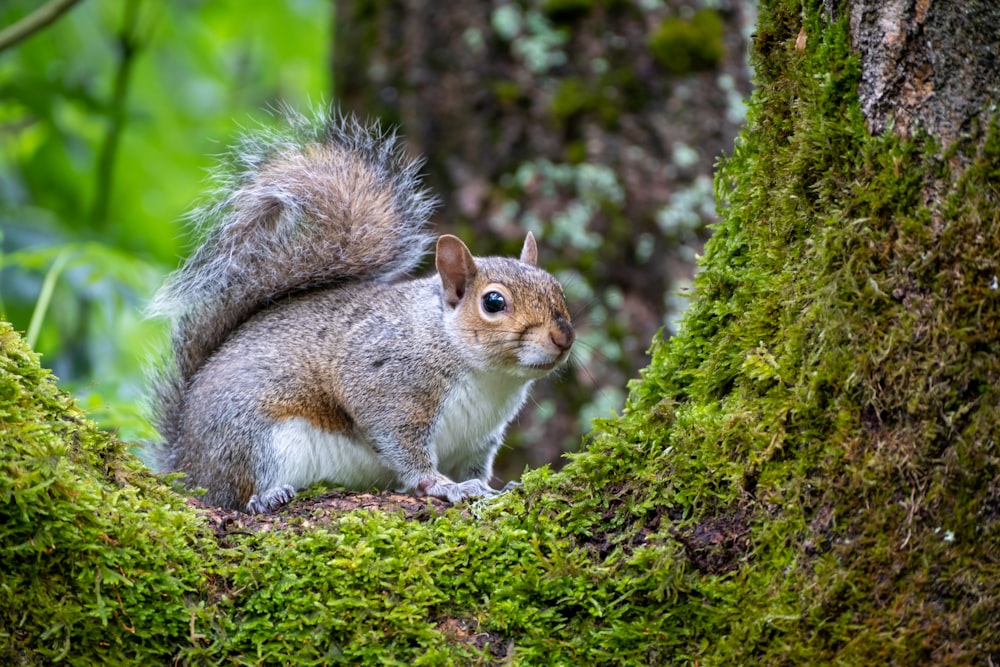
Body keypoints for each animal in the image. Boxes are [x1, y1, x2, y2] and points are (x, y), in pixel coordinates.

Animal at [146, 111, 572, 516]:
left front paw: (496, 487)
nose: (563, 337)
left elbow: (476, 468)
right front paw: (442, 485)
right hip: (254, 439)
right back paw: (265, 496)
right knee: (239, 490)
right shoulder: (384, 384)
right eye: (493, 302)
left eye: (558, 288)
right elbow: (402, 446)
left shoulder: (478, 437)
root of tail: (186, 463)